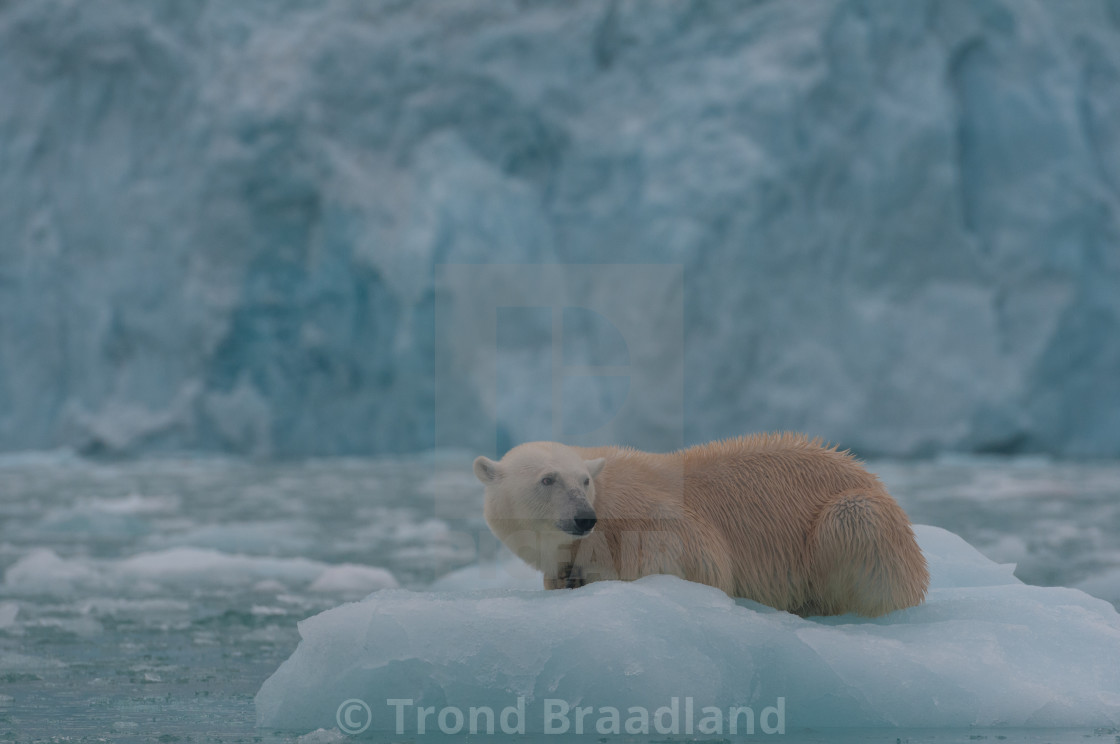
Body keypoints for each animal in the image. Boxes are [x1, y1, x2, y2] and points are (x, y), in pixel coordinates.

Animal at [472, 432, 927, 618]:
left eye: (583, 480)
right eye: (548, 479)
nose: (585, 516)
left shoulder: (646, 513)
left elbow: (701, 560)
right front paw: (566, 579)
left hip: (859, 518)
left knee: (854, 526)